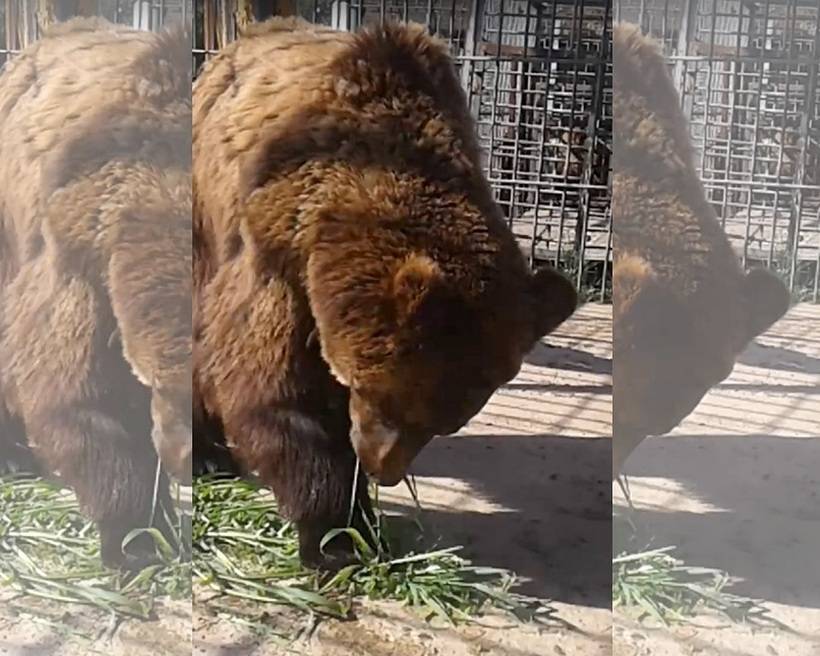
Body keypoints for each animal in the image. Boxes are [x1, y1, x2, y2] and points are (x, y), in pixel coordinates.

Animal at [192, 17, 578, 567]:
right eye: (384, 398)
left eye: (443, 424)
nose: (382, 469)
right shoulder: (275, 250)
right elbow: (274, 387)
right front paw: (340, 537)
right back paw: (203, 454)